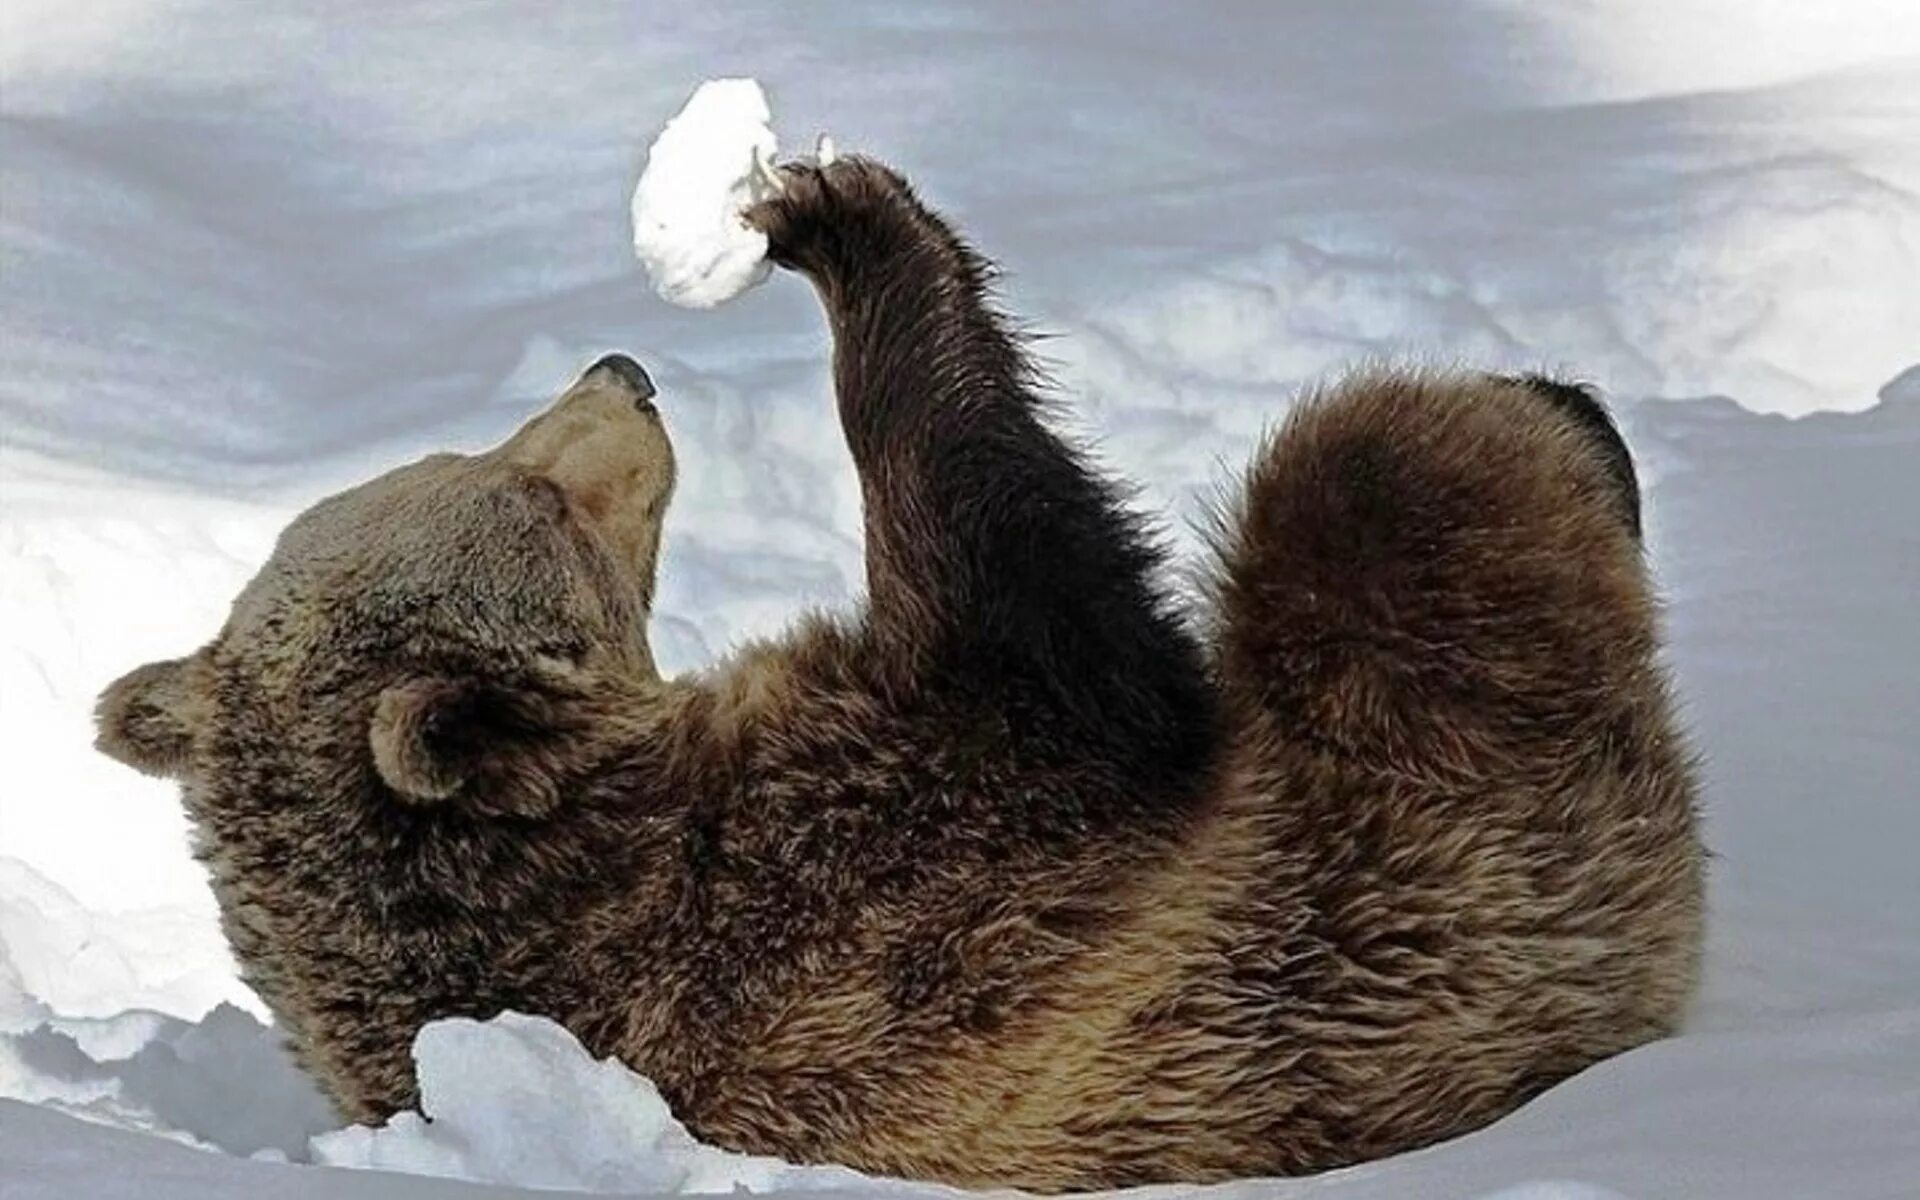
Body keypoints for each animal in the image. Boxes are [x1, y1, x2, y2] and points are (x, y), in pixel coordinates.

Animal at [97, 151, 1704, 1190]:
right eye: (531, 492)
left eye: (456, 449)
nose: (625, 372)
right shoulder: (874, 901)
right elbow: (1042, 624)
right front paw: (848, 221)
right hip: (1496, 824)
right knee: (1373, 472)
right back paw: (1556, 420)